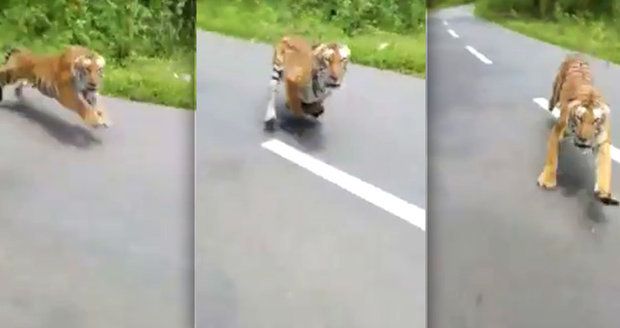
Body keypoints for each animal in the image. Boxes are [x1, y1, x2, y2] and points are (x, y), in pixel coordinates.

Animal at [536, 54, 616, 205]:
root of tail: (577, 54)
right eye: (579, 118)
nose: (583, 139)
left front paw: (604, 193)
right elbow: (552, 158)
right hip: (557, 86)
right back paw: (550, 105)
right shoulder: (558, 130)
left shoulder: (602, 142)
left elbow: (605, 167)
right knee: (553, 98)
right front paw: (548, 180)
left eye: (595, 121)